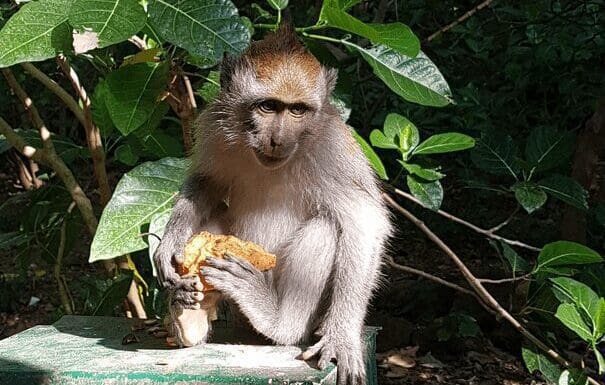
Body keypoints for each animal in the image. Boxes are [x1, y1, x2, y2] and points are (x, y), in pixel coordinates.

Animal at [153, 25, 392, 382]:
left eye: (297, 110)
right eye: (267, 106)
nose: (278, 139)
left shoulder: (332, 149)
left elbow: (364, 221)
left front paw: (342, 336)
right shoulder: (214, 127)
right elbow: (208, 182)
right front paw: (171, 241)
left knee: (325, 228)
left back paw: (278, 322)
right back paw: (189, 312)